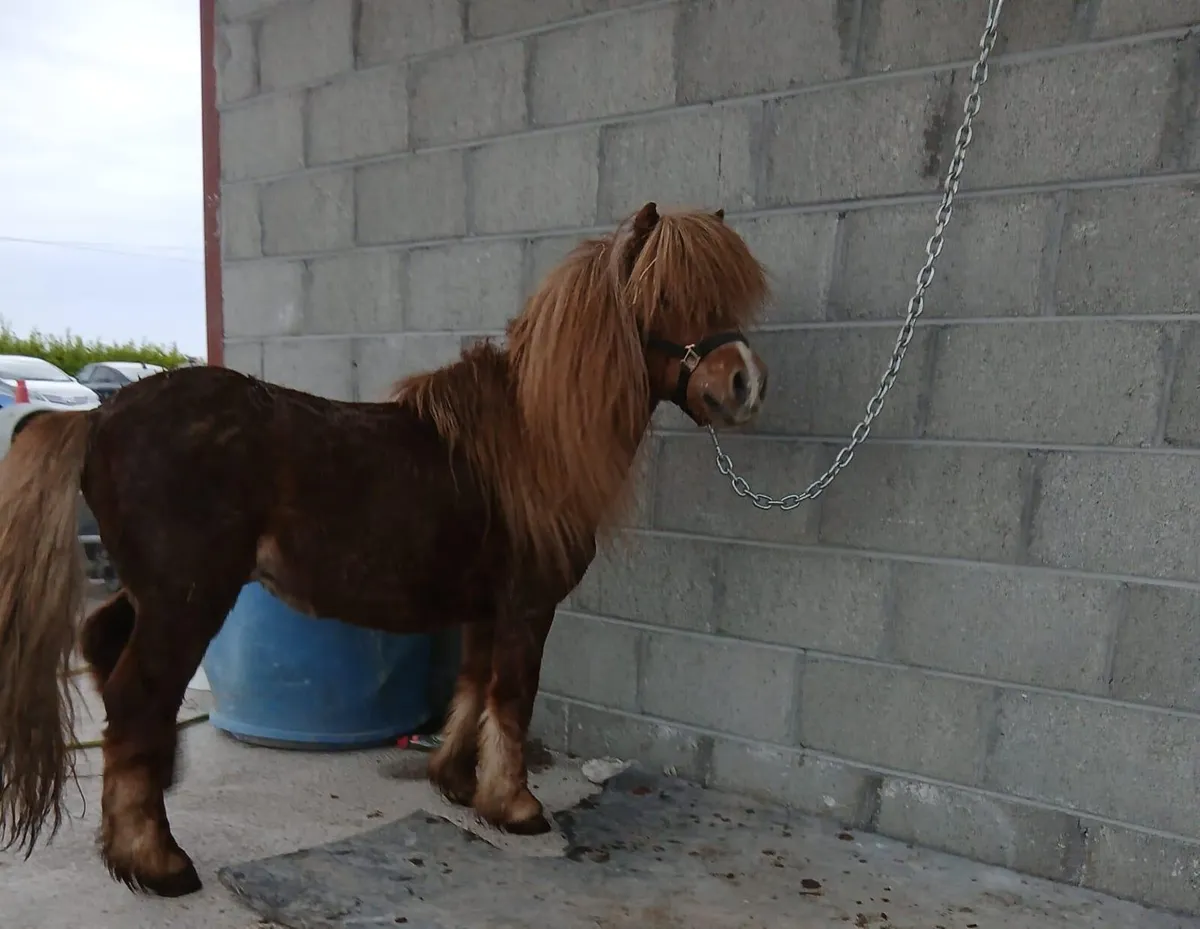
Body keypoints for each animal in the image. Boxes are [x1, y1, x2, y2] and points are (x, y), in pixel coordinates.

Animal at [0, 201, 770, 899]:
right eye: (665, 297)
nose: (744, 384)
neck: (532, 439)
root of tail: (101, 414)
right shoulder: (528, 602)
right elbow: (513, 695)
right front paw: (515, 806)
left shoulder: (485, 604)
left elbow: (473, 684)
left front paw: (457, 782)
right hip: (188, 599)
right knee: (138, 694)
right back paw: (154, 860)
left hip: (152, 591)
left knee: (103, 648)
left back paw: (148, 799)